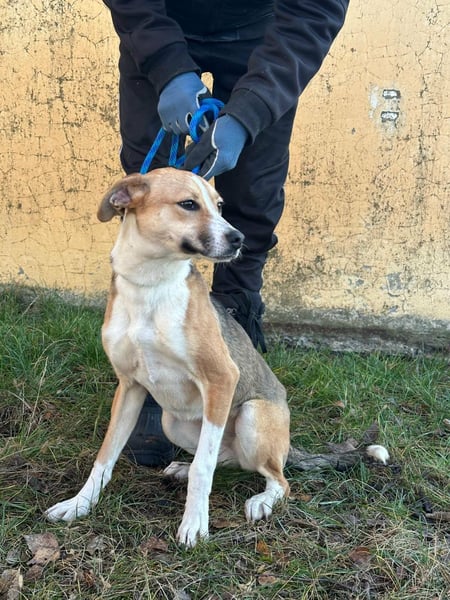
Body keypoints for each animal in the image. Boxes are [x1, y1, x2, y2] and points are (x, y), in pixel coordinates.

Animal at [45, 167, 291, 547]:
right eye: (188, 204)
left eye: (220, 206)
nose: (238, 239)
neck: (150, 284)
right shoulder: (128, 386)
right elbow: (105, 455)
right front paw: (78, 505)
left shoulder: (222, 378)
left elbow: (204, 468)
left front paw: (195, 525)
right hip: (171, 422)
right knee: (226, 456)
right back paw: (183, 469)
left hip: (251, 417)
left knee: (275, 478)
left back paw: (262, 501)